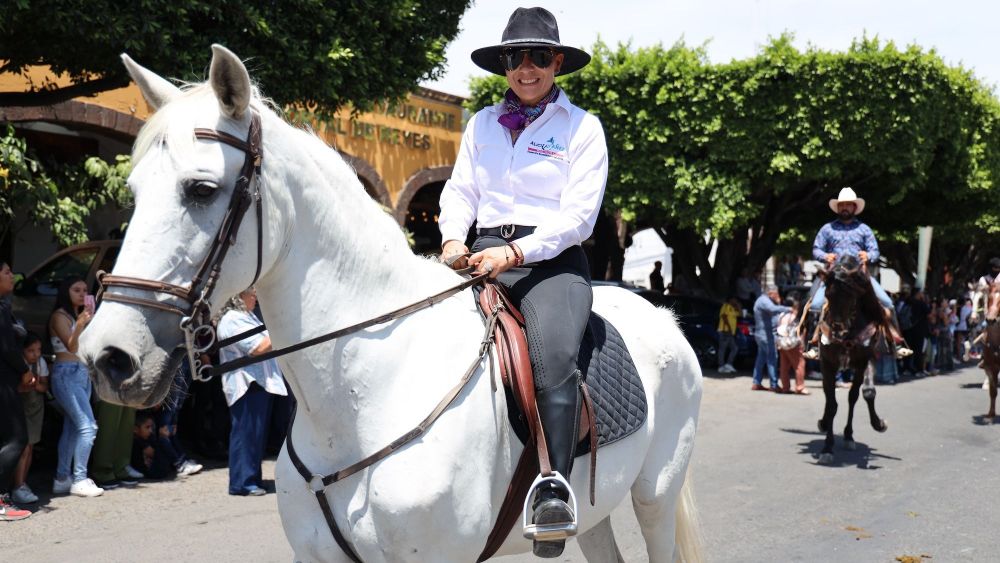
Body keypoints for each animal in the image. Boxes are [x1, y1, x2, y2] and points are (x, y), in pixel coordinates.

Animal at [78, 46, 704, 560]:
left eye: (202, 189)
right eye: (133, 191)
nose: (108, 357)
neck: (367, 392)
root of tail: (663, 317)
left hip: (655, 496)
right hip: (596, 512)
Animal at [812, 258, 892, 464]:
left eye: (852, 296)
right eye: (828, 294)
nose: (837, 331)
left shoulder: (864, 360)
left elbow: (864, 393)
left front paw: (878, 424)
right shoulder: (828, 363)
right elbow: (832, 404)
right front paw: (827, 447)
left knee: (851, 397)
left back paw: (848, 435)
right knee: (829, 397)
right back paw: (824, 423)